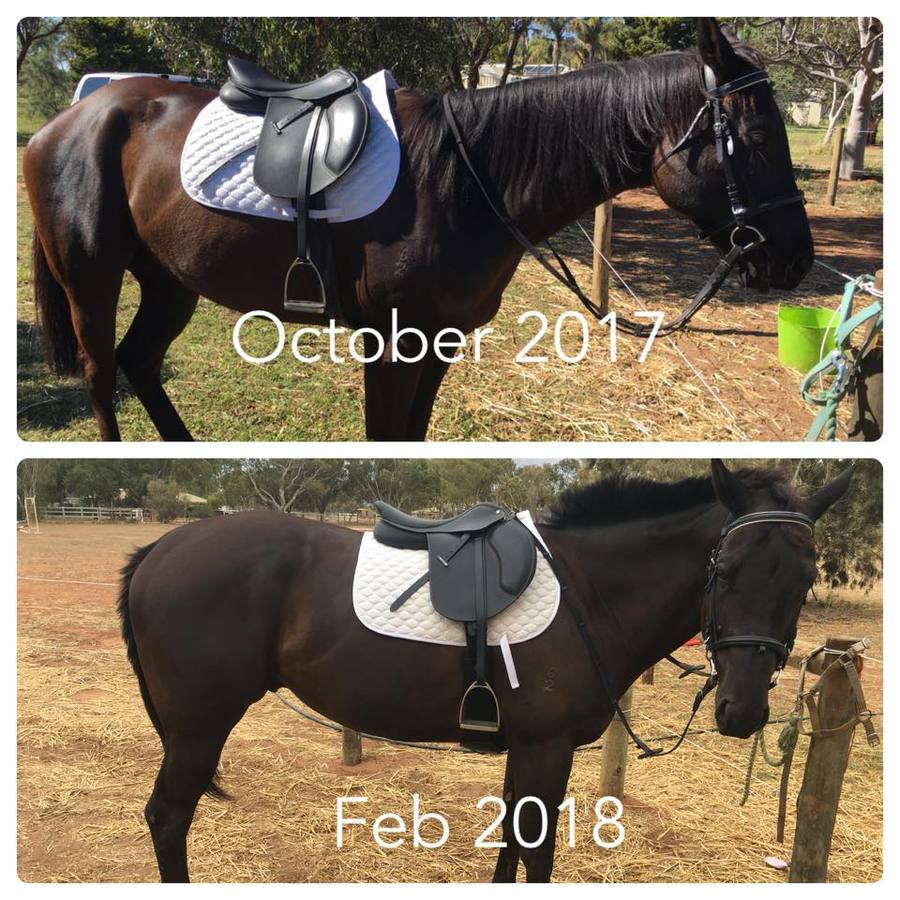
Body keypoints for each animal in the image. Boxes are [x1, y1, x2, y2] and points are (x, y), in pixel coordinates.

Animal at [24, 19, 812, 442]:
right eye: (755, 137)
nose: (796, 261)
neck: (467, 182)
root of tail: (67, 122)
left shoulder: (440, 342)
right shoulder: (391, 344)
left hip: (170, 280)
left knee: (139, 362)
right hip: (91, 281)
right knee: (102, 372)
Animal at [114, 460, 852, 884]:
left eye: (805, 583)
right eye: (725, 573)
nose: (744, 712)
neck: (589, 589)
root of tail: (160, 549)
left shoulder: (523, 747)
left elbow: (510, 845)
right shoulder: (548, 747)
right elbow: (537, 851)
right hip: (199, 728)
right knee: (167, 819)